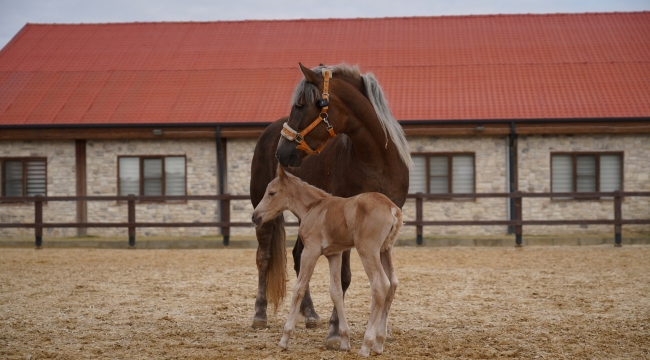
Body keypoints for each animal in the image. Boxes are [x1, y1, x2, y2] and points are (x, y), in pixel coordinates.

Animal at [249, 166, 398, 358]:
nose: (255, 216)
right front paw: (344, 342)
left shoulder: (310, 251)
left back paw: (366, 345)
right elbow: (336, 292)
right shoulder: (334, 254)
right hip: (385, 250)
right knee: (393, 283)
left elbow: (299, 288)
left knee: (380, 284)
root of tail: (391, 208)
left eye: (272, 193)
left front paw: (284, 340)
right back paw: (379, 344)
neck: (314, 208)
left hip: (368, 250)